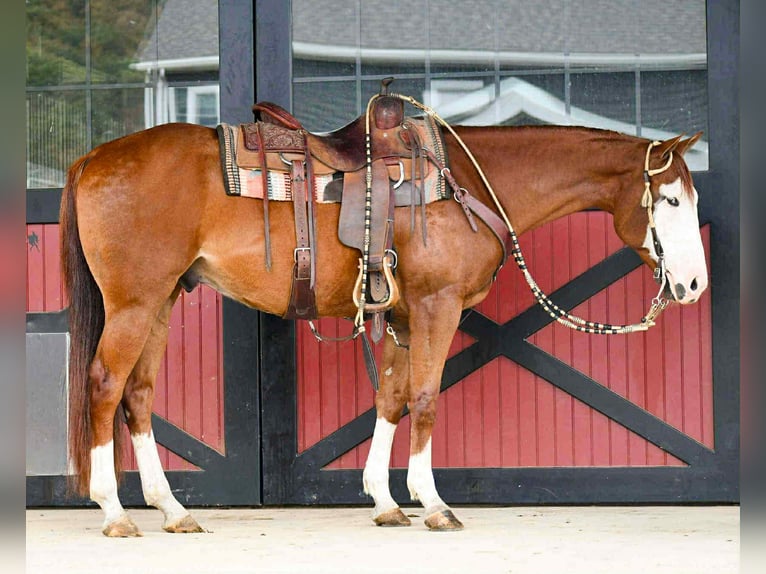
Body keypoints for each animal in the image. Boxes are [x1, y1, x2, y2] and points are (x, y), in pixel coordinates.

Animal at [60, 114, 707, 536]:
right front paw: (433, 503)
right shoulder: (437, 306)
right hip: (134, 302)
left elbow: (391, 398)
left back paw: (171, 509)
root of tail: (93, 157)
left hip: (162, 299)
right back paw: (114, 511)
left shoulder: (399, 313)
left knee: (139, 395)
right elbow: (424, 397)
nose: (695, 285)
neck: (468, 183)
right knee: (104, 386)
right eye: (671, 200)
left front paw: (385, 501)